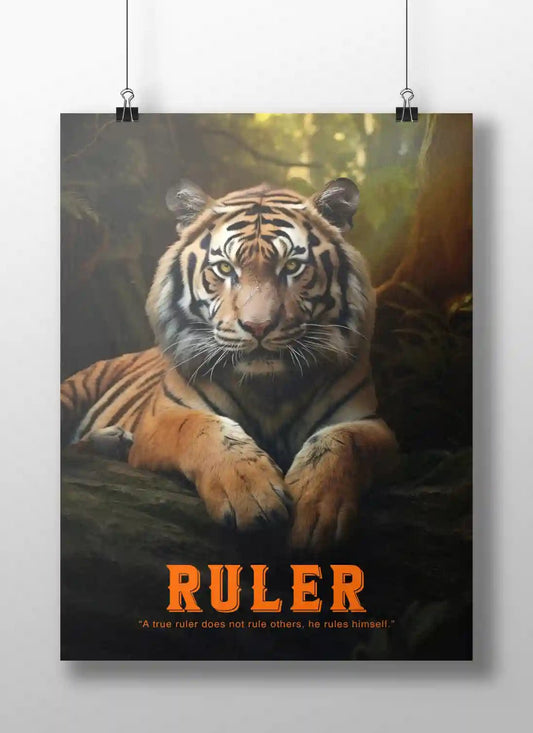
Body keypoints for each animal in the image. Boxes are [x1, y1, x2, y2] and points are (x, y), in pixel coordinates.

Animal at [61, 178, 397, 550]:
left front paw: (318, 509)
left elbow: (341, 445)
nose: (258, 327)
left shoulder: (368, 423)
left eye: (291, 267)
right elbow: (203, 429)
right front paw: (251, 496)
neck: (270, 389)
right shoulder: (163, 416)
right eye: (224, 269)